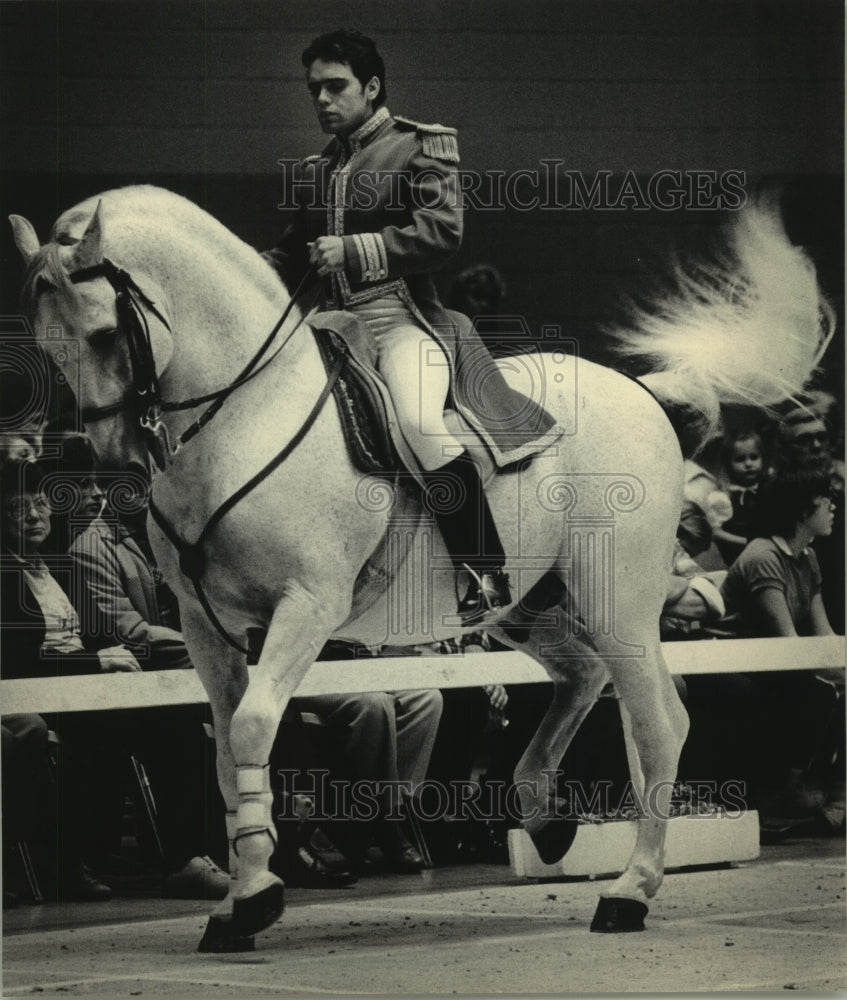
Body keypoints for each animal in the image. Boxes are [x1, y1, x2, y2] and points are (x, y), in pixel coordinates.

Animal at [8, 189, 828, 952]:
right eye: (48, 347)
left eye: (106, 333)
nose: (115, 470)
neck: (246, 419)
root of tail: (642, 395)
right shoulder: (208, 629)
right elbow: (226, 750)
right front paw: (241, 899)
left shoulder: (305, 607)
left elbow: (251, 728)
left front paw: (256, 897)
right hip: (529, 604)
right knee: (581, 677)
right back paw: (545, 817)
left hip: (615, 600)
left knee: (654, 721)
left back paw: (628, 891)